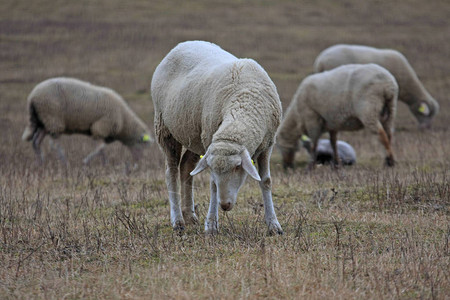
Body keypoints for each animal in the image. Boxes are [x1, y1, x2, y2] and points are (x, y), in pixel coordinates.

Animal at [21, 77, 153, 165]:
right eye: (143, 144)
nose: (139, 163)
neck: (124, 121)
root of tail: (32, 97)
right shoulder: (100, 127)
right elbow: (100, 148)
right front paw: (86, 161)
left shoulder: (101, 131)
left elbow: (102, 149)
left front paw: (105, 163)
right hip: (52, 118)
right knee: (54, 144)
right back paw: (64, 161)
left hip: (43, 121)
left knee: (36, 141)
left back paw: (40, 162)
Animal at [151, 41, 284, 236]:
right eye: (214, 169)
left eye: (238, 167)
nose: (225, 205)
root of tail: (182, 44)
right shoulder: (210, 143)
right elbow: (213, 184)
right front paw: (212, 224)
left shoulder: (267, 144)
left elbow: (266, 181)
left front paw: (273, 224)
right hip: (166, 130)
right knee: (171, 173)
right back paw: (178, 221)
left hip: (196, 136)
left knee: (186, 168)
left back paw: (190, 215)